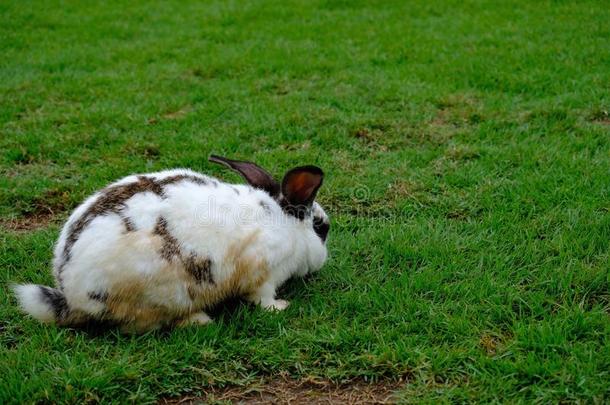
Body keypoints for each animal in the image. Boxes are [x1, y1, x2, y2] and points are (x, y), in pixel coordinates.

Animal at [13, 155, 328, 332]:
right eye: (320, 227)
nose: (324, 258)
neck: (285, 224)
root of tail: (71, 296)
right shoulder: (262, 273)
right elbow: (261, 298)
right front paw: (281, 306)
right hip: (159, 297)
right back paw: (199, 320)